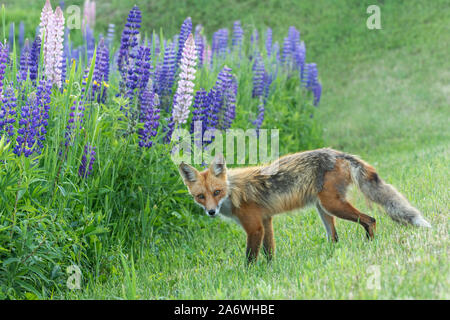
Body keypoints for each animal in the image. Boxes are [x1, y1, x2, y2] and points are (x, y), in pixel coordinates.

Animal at [178, 149, 430, 264]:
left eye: (217, 192)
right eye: (200, 196)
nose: (211, 212)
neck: (233, 192)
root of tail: (337, 153)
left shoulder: (254, 227)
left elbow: (250, 258)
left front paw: (248, 275)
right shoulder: (266, 221)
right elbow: (269, 252)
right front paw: (270, 269)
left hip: (333, 205)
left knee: (370, 219)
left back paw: (370, 244)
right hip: (324, 210)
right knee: (335, 238)